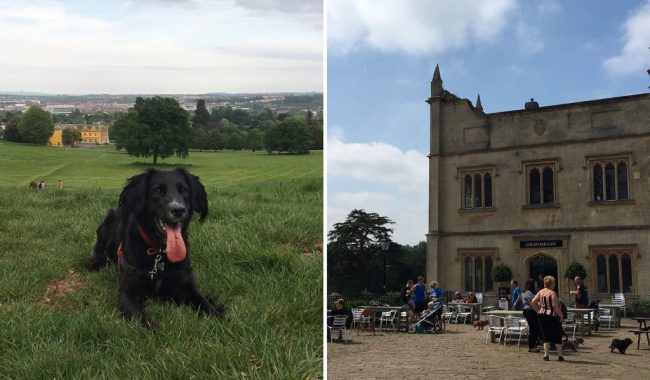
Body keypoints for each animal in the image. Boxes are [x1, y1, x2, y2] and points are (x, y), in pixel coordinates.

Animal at [90, 168, 224, 328]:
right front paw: (155, 330)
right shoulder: (127, 292)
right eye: (158, 190)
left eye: (184, 190)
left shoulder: (186, 285)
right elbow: (139, 317)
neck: (159, 252)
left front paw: (218, 318)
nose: (178, 210)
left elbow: (203, 302)